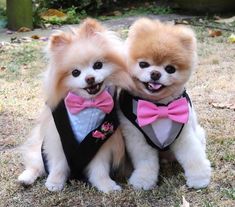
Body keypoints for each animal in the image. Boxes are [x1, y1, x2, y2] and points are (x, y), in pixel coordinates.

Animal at [17, 17, 132, 192]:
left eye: (98, 65)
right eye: (75, 73)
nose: (90, 78)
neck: (88, 104)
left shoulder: (100, 142)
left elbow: (99, 168)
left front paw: (105, 185)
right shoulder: (58, 140)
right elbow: (59, 164)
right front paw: (55, 182)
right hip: (39, 150)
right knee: (36, 165)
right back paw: (26, 178)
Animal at [118, 18, 212, 190]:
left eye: (170, 69)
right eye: (143, 64)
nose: (155, 74)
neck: (160, 107)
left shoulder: (184, 133)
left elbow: (193, 154)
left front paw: (200, 177)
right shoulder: (136, 138)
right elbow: (145, 162)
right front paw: (143, 180)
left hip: (198, 132)